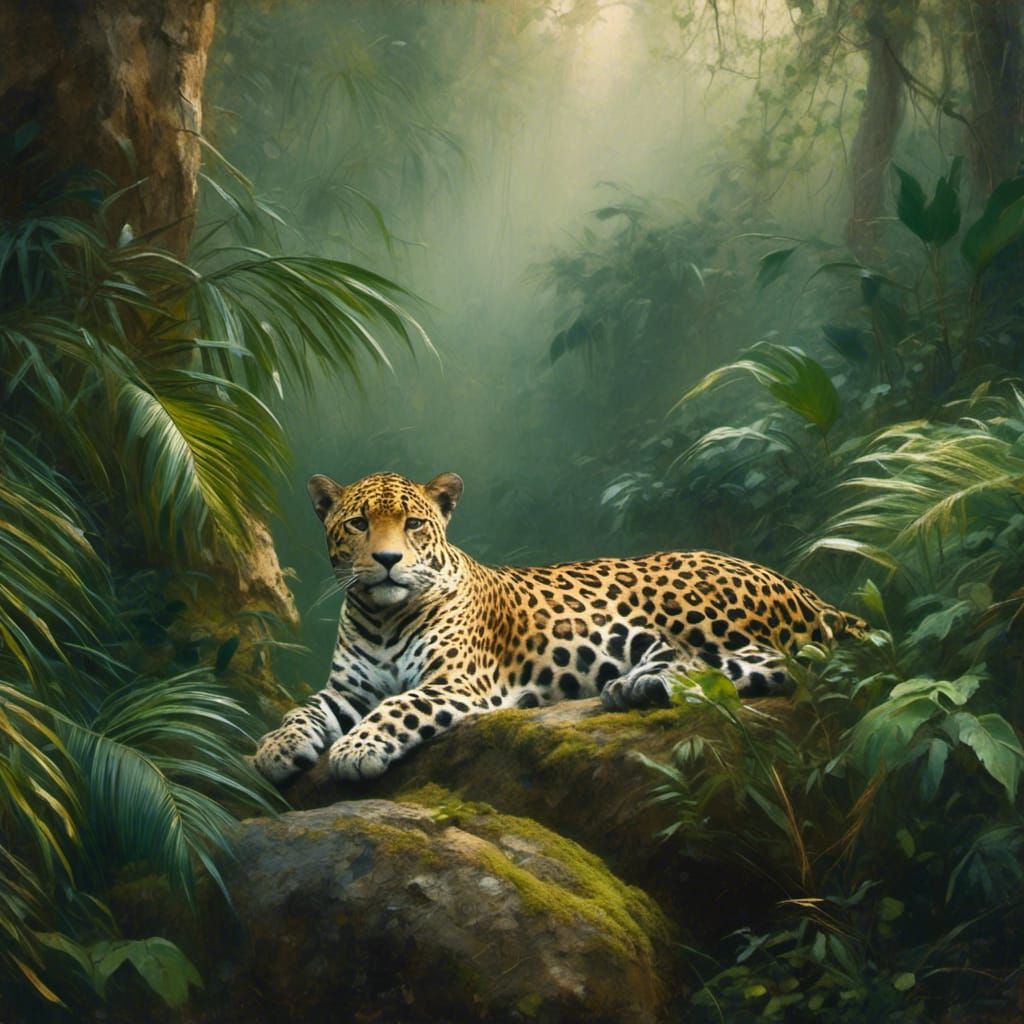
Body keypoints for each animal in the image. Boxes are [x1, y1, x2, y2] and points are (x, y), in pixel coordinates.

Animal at [254, 470, 866, 784]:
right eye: (358, 523)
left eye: (414, 525)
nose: (386, 560)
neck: (383, 616)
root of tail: (806, 590)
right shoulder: (347, 689)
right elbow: (305, 708)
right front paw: (276, 748)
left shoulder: (458, 681)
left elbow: (398, 705)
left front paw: (356, 749)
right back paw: (633, 687)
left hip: (697, 604)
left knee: (785, 668)